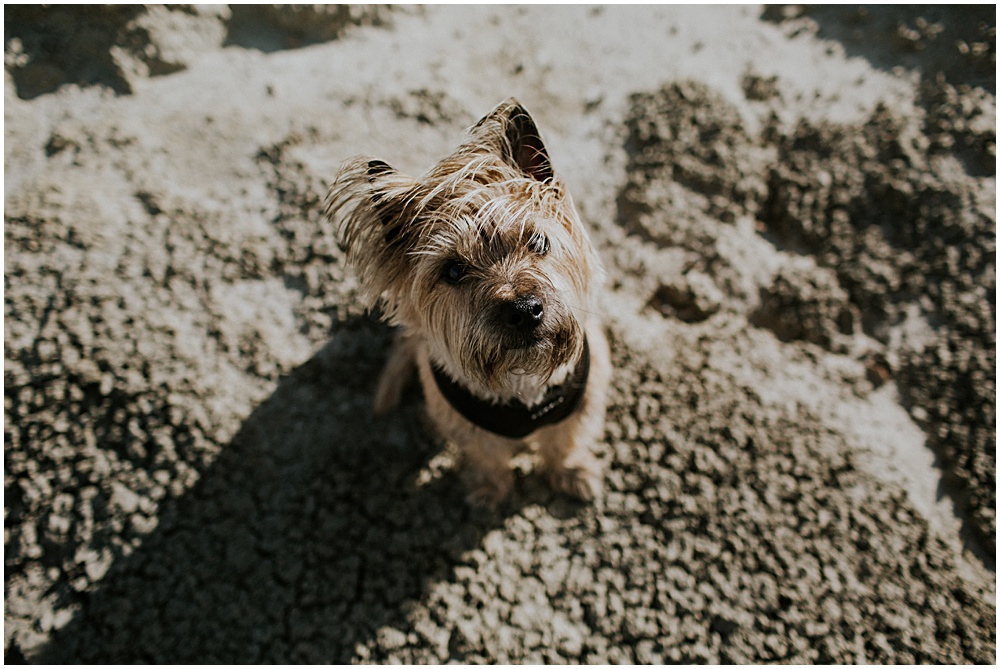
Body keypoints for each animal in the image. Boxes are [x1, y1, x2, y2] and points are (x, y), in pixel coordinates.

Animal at [328, 96, 608, 506]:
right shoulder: (462, 423)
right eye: (453, 270)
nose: (524, 311)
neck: (521, 384)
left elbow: (565, 441)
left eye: (538, 241)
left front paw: (571, 473)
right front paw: (490, 489)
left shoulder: (585, 399)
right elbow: (486, 454)